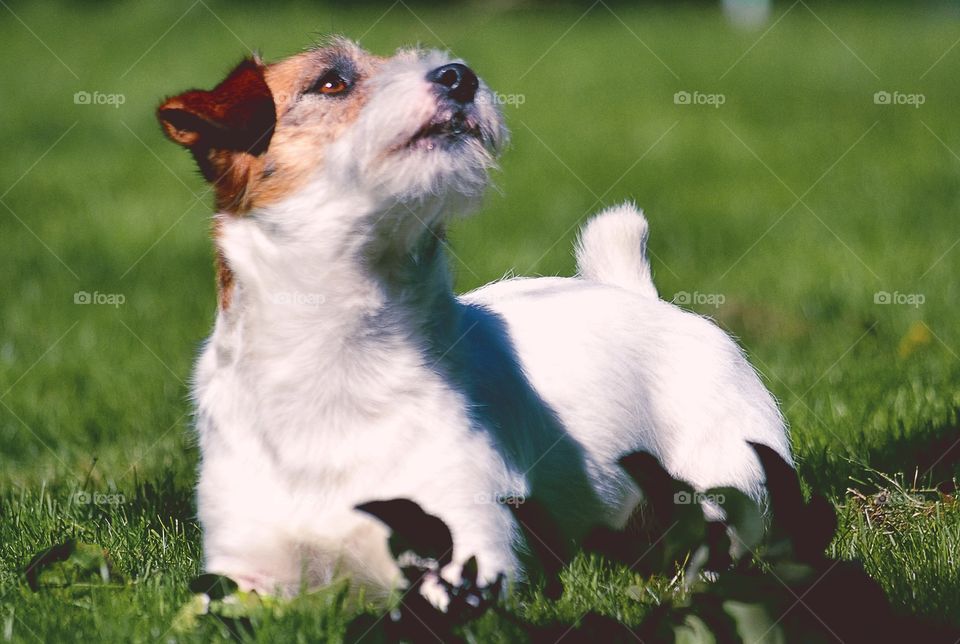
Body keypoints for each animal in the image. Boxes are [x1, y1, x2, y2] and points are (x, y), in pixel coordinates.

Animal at [156, 37, 788, 600]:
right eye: (331, 82)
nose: (460, 76)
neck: (336, 356)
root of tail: (639, 294)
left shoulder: (468, 555)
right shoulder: (244, 572)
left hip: (726, 484)